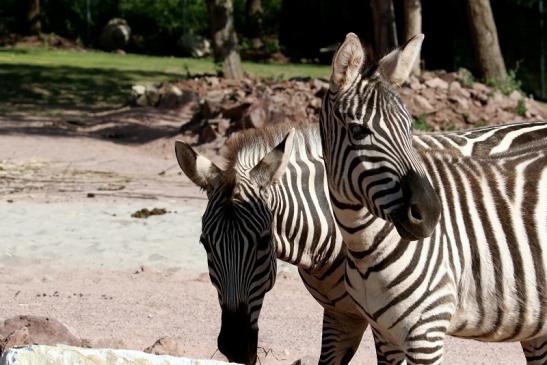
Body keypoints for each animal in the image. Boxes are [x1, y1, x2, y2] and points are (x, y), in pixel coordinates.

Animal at [318, 32, 547, 364]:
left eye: (409, 127)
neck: (364, 248)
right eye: (358, 130)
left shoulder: (425, 335)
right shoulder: (384, 336)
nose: (430, 213)